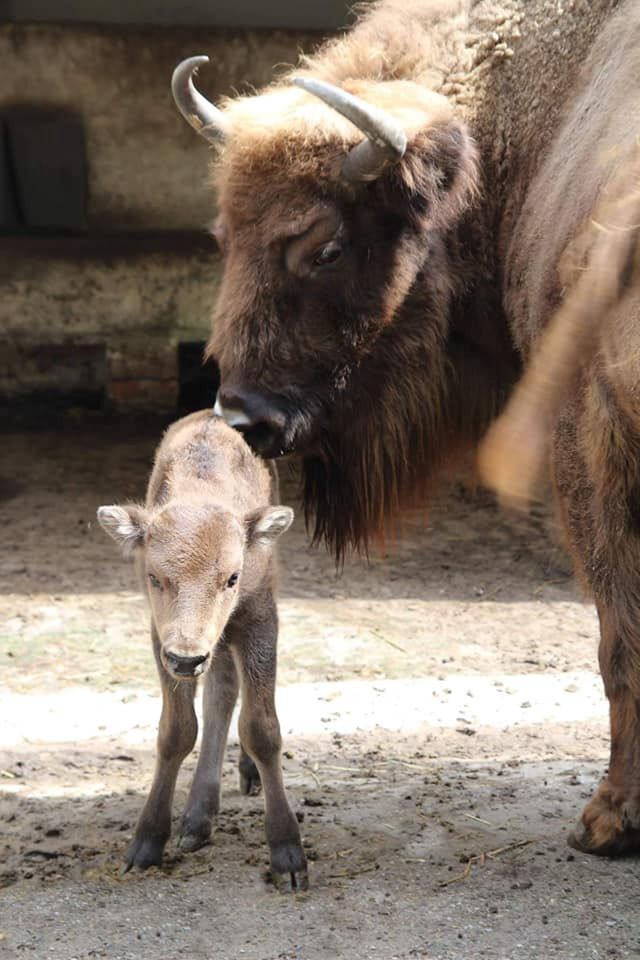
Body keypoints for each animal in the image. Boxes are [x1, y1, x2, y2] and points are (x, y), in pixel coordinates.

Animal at [96, 412, 308, 892]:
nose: (187, 658)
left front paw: (288, 854)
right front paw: (147, 843)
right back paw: (197, 818)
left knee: (229, 695)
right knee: (220, 695)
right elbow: (177, 729)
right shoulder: (162, 639)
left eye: (232, 577)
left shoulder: (258, 619)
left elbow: (263, 728)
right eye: (154, 577)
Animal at [172, 0, 640, 856]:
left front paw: (607, 821)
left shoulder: (582, 446)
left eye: (323, 246)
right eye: (224, 235)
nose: (243, 416)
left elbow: (618, 625)